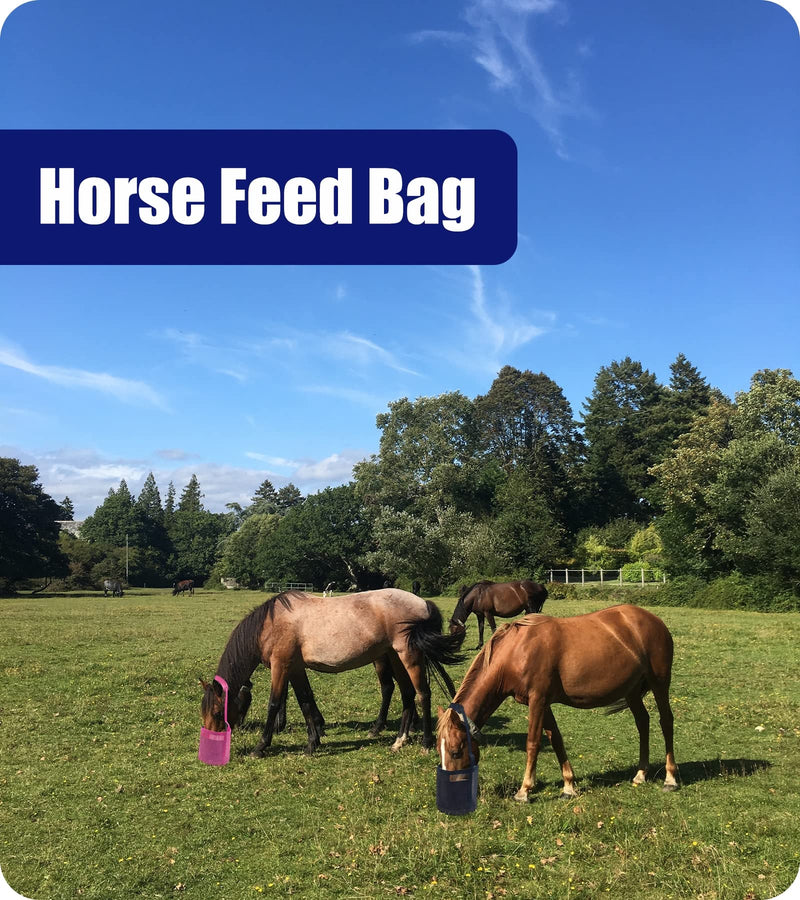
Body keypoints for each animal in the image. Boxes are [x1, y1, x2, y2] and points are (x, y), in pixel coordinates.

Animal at [201, 589, 464, 756]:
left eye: (217, 711)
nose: (212, 740)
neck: (270, 624)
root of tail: (422, 602)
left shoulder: (281, 665)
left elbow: (274, 703)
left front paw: (261, 747)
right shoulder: (295, 668)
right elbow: (305, 701)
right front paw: (312, 743)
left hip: (408, 655)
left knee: (422, 694)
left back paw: (426, 743)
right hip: (394, 657)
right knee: (407, 694)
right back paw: (399, 740)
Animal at [437, 605, 678, 801]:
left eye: (455, 752)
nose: (451, 792)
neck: (516, 651)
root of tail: (654, 620)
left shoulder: (538, 700)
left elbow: (533, 743)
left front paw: (524, 791)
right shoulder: (542, 703)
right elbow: (556, 740)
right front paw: (569, 787)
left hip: (659, 683)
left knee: (666, 721)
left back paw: (670, 779)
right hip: (631, 691)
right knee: (642, 722)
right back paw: (641, 774)